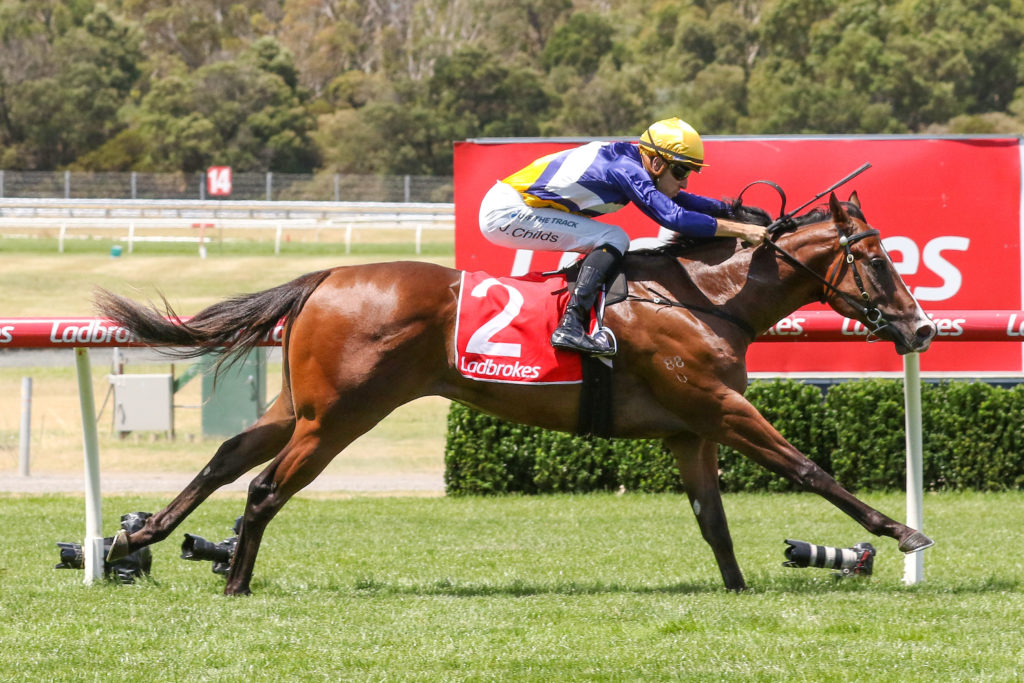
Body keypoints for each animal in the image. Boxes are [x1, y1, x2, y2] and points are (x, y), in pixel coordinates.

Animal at [98, 192, 936, 595]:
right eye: (878, 260)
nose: (921, 326)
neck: (705, 298)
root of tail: (325, 276)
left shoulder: (688, 432)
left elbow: (715, 523)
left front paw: (738, 588)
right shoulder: (721, 410)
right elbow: (809, 468)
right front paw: (902, 533)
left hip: (298, 408)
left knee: (228, 458)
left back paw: (137, 537)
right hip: (340, 416)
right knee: (266, 486)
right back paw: (235, 577)